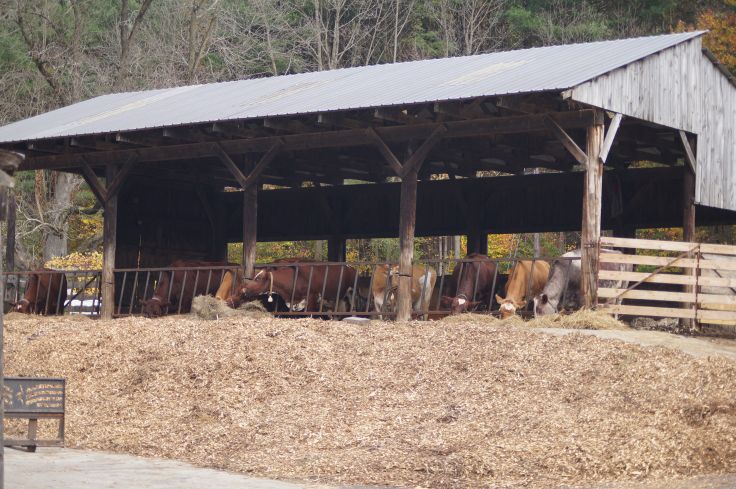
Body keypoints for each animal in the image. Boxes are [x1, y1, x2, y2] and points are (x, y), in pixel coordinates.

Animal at [229, 262, 358, 314]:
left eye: (258, 279)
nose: (243, 289)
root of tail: (350, 266)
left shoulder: (312, 296)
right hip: (339, 298)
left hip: (351, 293)